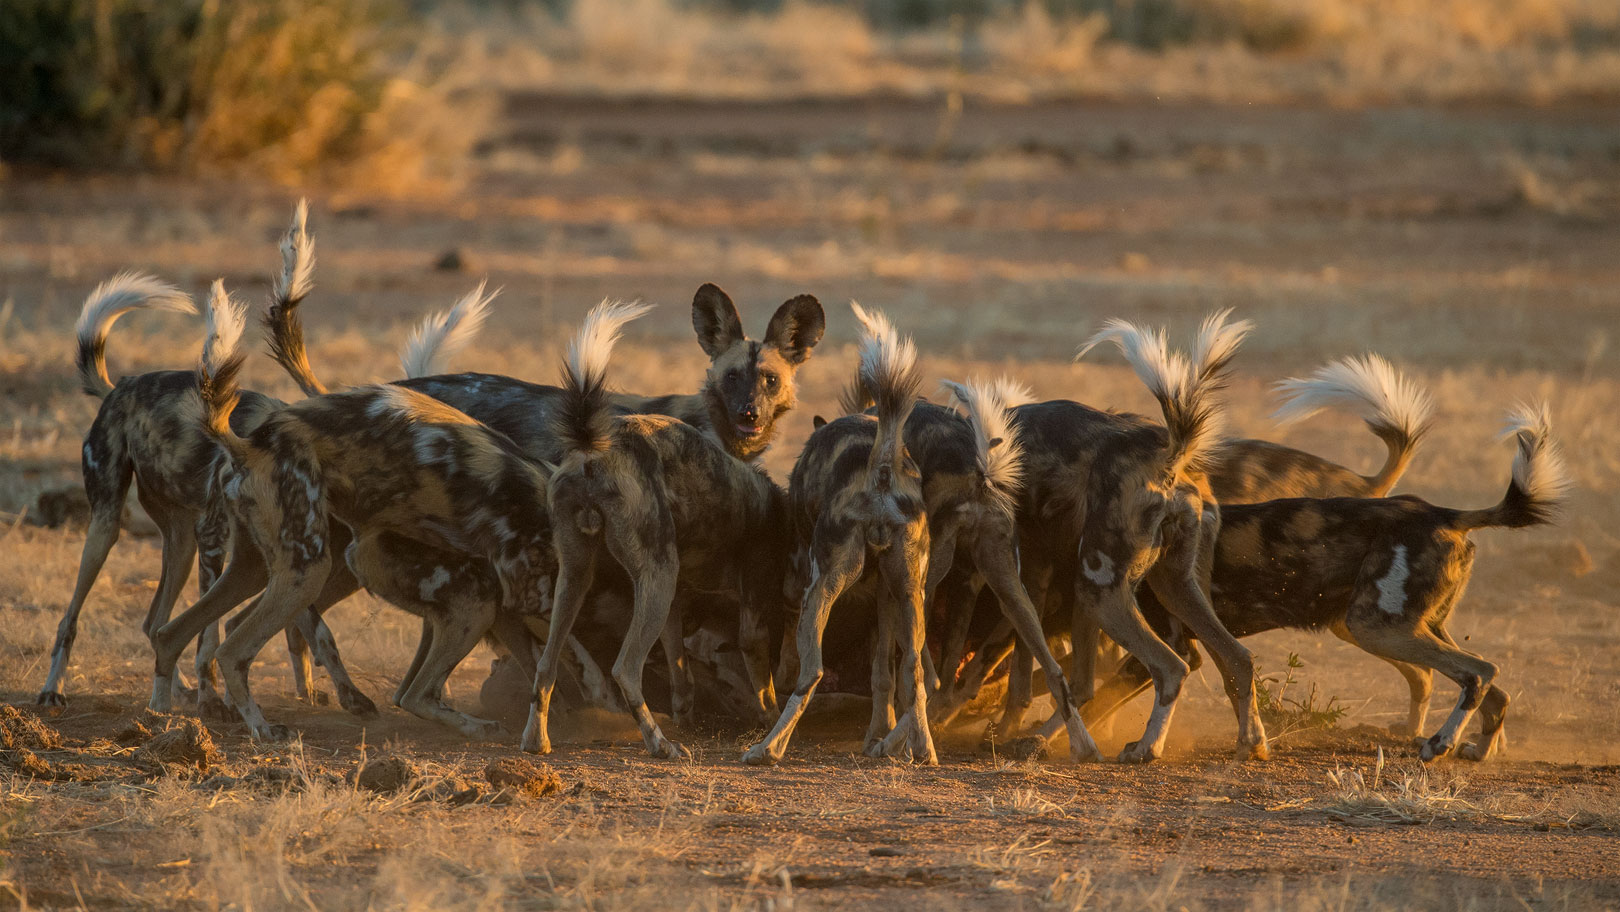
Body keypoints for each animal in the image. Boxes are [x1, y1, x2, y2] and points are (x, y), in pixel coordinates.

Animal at [38, 264, 370, 722]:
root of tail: (118, 387)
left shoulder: (284, 558)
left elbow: (314, 630)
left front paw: (345, 693)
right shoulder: (222, 541)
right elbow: (211, 636)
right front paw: (214, 699)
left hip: (180, 544)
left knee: (155, 622)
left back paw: (172, 686)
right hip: (106, 528)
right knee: (72, 617)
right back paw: (54, 689)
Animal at [152, 281, 557, 738]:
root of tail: (248, 444)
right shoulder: (526, 599)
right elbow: (553, 668)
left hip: (256, 568)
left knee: (173, 633)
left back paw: (162, 713)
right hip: (310, 572)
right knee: (233, 651)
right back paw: (264, 729)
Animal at [521, 302, 793, 761]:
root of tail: (593, 449)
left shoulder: (675, 606)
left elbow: (679, 668)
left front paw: (687, 716)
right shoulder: (751, 616)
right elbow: (765, 688)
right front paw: (770, 725)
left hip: (578, 577)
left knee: (547, 662)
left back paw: (536, 741)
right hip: (656, 576)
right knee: (625, 669)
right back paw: (660, 744)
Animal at [741, 302, 939, 767]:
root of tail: (881, 465)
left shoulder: (796, 587)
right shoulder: (886, 596)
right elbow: (885, 673)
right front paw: (878, 737)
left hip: (821, 588)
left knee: (810, 672)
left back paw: (767, 749)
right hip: (910, 591)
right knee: (915, 669)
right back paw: (924, 751)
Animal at [1082, 406, 1561, 764]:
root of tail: (1444, 513)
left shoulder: (1177, 644)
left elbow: (1103, 697)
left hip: (1375, 626)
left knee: (1477, 672)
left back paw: (1439, 744)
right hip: (1408, 625)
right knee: (1492, 684)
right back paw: (1477, 750)